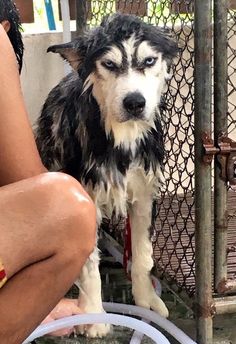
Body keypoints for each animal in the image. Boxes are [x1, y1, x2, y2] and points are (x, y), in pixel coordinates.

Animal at [36, 14, 178, 338]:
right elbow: (89, 268)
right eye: (110, 64)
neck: (121, 139)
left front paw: (146, 301)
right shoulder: (85, 201)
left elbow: (143, 257)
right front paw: (94, 316)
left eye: (149, 61)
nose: (135, 102)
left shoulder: (144, 197)